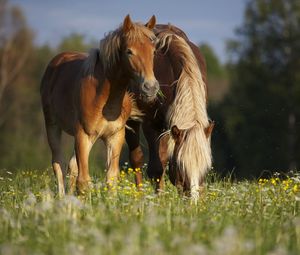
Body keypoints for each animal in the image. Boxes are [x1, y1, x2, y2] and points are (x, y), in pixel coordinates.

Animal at [41, 14, 161, 196]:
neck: (105, 98)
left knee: (72, 166)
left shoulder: (114, 137)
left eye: (153, 51)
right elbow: (83, 181)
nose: (151, 87)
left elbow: (110, 178)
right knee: (58, 163)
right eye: (129, 51)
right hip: (53, 126)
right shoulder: (83, 135)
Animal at [125, 23, 214, 199]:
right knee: (137, 159)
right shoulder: (151, 124)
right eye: (181, 166)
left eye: (206, 168)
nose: (193, 200)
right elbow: (156, 168)